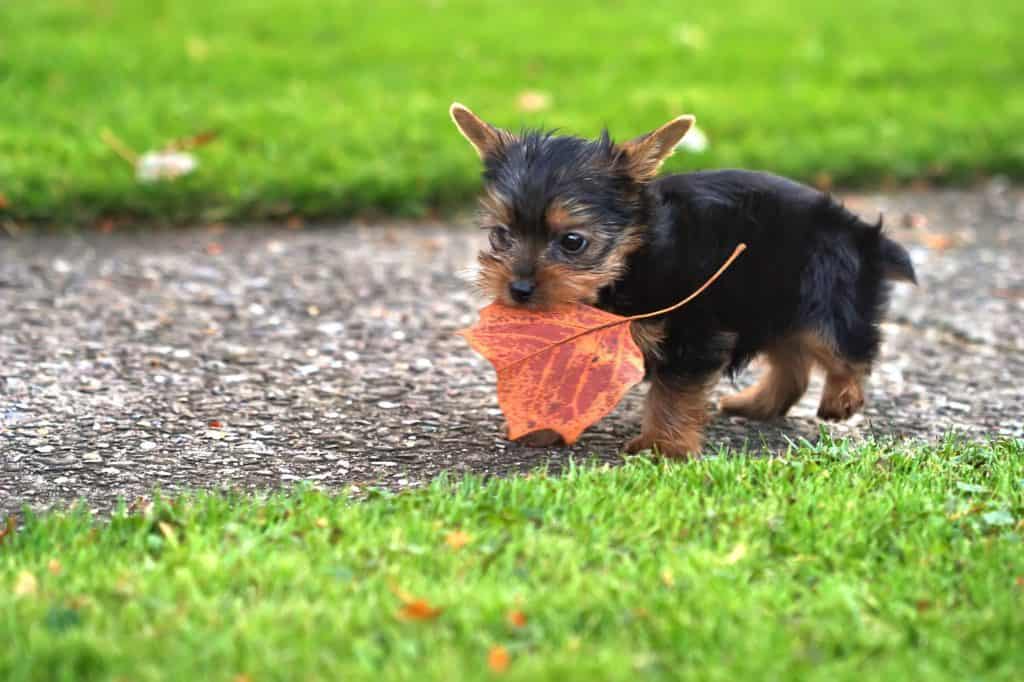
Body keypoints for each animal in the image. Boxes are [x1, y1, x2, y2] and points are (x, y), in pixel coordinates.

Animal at [452, 100, 917, 456]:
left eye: (572, 242)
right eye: (500, 235)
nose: (518, 289)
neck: (628, 264)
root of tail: (859, 231)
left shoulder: (693, 329)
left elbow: (674, 392)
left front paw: (663, 447)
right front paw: (542, 423)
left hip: (825, 288)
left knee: (844, 342)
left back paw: (842, 396)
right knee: (793, 361)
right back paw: (757, 404)